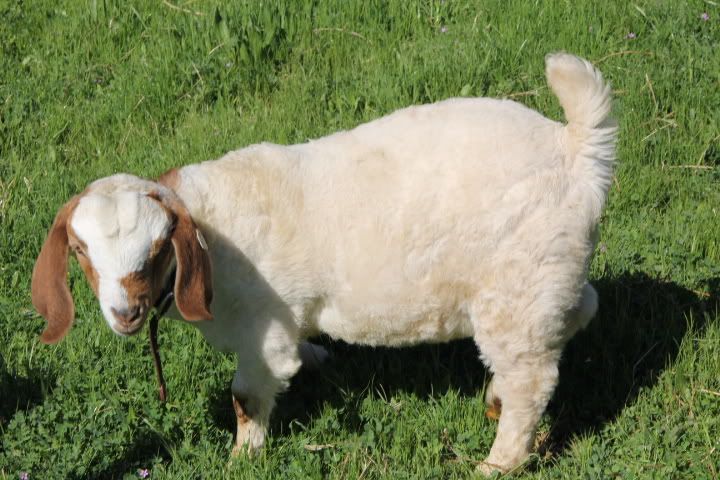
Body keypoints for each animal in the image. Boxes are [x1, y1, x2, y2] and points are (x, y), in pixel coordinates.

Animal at [31, 53, 616, 473]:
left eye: (158, 247)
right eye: (80, 250)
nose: (125, 312)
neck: (213, 232)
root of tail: (575, 148)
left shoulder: (261, 333)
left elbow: (247, 395)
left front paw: (242, 458)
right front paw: (315, 356)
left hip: (515, 287)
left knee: (531, 380)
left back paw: (498, 461)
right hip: (548, 273)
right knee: (581, 309)